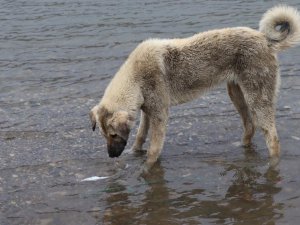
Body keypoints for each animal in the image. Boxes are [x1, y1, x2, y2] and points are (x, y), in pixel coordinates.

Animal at [89, 5, 300, 169]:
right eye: (104, 135)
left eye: (114, 135)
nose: (112, 156)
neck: (136, 78)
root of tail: (266, 40)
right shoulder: (146, 111)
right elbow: (140, 136)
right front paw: (134, 153)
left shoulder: (159, 114)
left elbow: (154, 149)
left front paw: (146, 168)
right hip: (236, 93)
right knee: (249, 125)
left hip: (257, 98)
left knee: (272, 139)